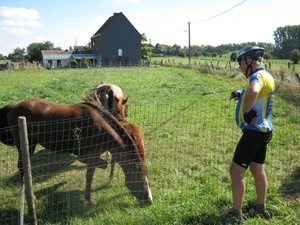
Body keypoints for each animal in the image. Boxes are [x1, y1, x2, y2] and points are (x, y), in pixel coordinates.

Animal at [0, 96, 152, 204]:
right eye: (140, 179)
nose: (149, 201)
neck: (99, 126)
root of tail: (14, 107)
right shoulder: (88, 155)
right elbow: (101, 164)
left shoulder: (94, 155)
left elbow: (90, 175)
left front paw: (88, 199)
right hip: (26, 145)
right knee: (21, 167)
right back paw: (30, 196)